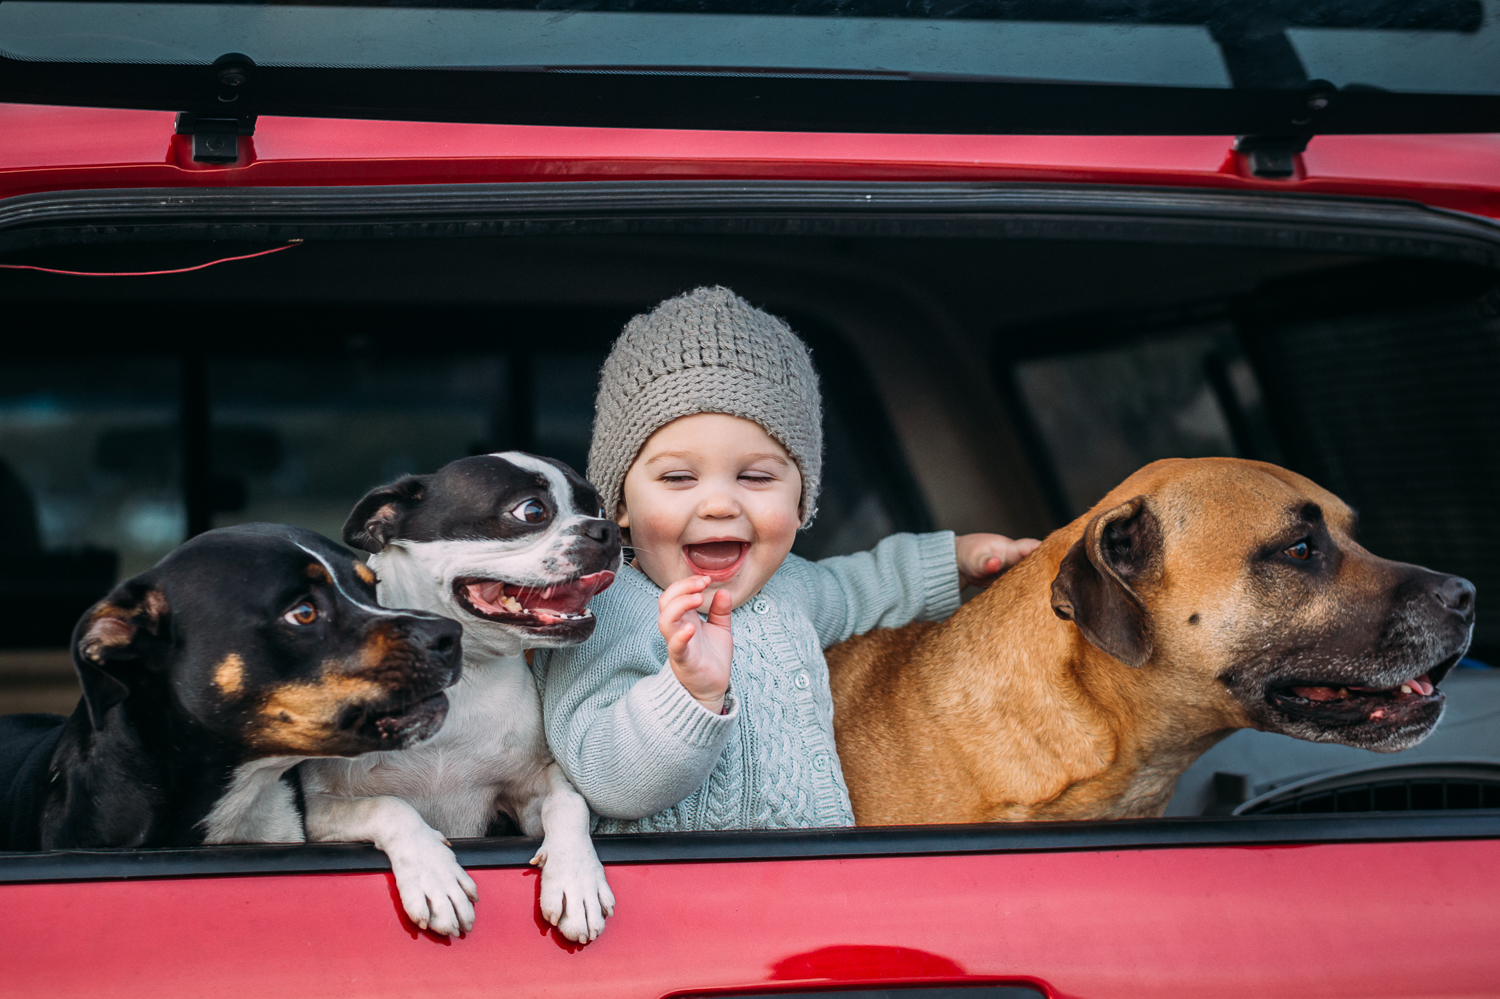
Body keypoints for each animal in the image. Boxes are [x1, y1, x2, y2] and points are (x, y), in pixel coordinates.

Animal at [304, 456, 621, 936]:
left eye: (598, 507)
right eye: (532, 511)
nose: (607, 530)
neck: (461, 676)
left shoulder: (529, 793)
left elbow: (569, 801)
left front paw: (577, 879)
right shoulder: (314, 807)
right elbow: (388, 805)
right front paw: (434, 876)